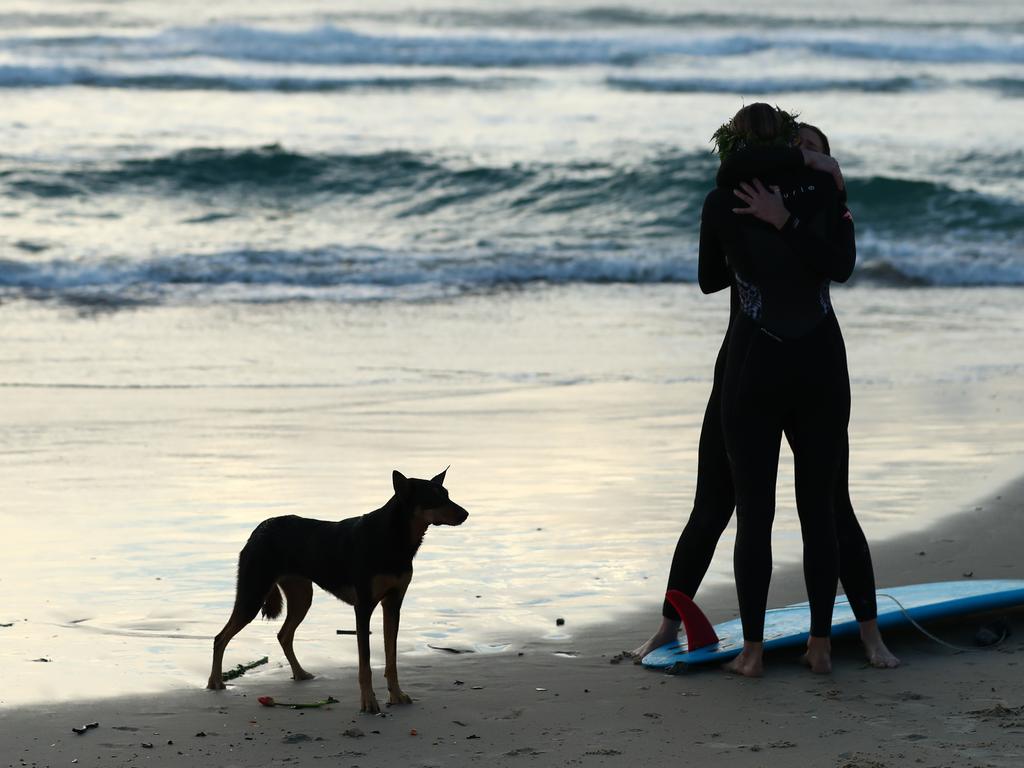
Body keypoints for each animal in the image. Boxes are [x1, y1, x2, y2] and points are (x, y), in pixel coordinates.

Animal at [206, 468, 468, 716]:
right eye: (434, 497)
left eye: (447, 494)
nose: (465, 514)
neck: (393, 537)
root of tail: (260, 528)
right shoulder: (363, 607)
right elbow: (365, 664)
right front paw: (368, 703)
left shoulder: (393, 603)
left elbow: (391, 658)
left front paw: (396, 695)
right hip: (253, 594)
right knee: (220, 638)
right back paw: (215, 682)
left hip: (302, 596)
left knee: (284, 635)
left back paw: (300, 674)